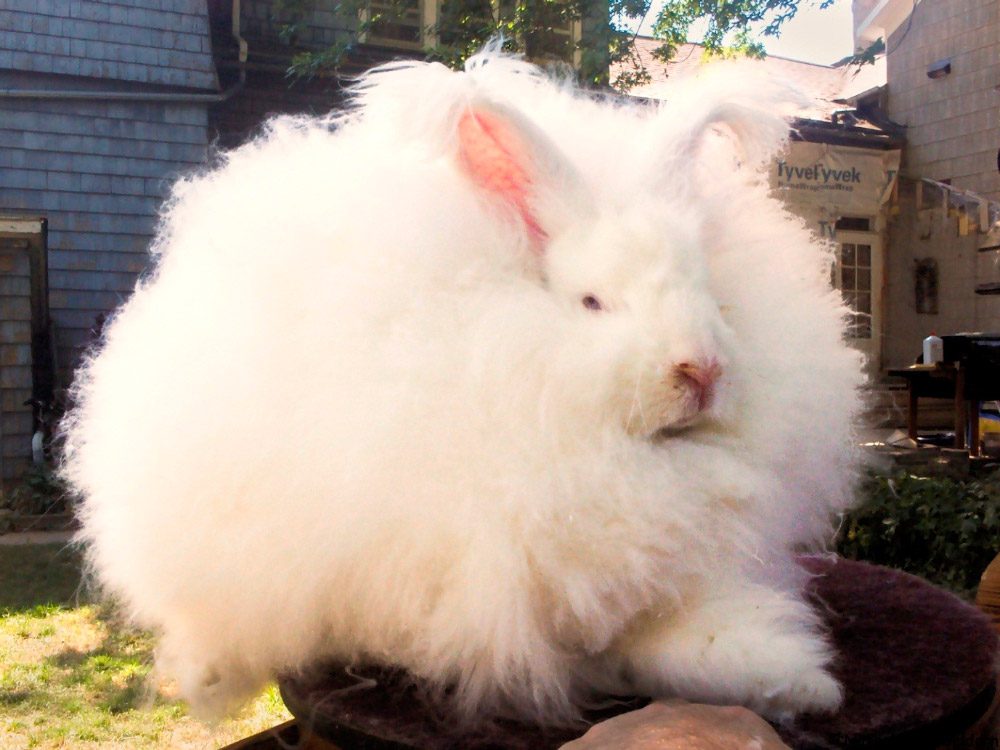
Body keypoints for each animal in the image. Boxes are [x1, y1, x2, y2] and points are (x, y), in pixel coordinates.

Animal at [62, 51, 864, 728]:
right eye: (592, 303)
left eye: (713, 296)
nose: (701, 370)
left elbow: (695, 640)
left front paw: (802, 684)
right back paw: (207, 673)